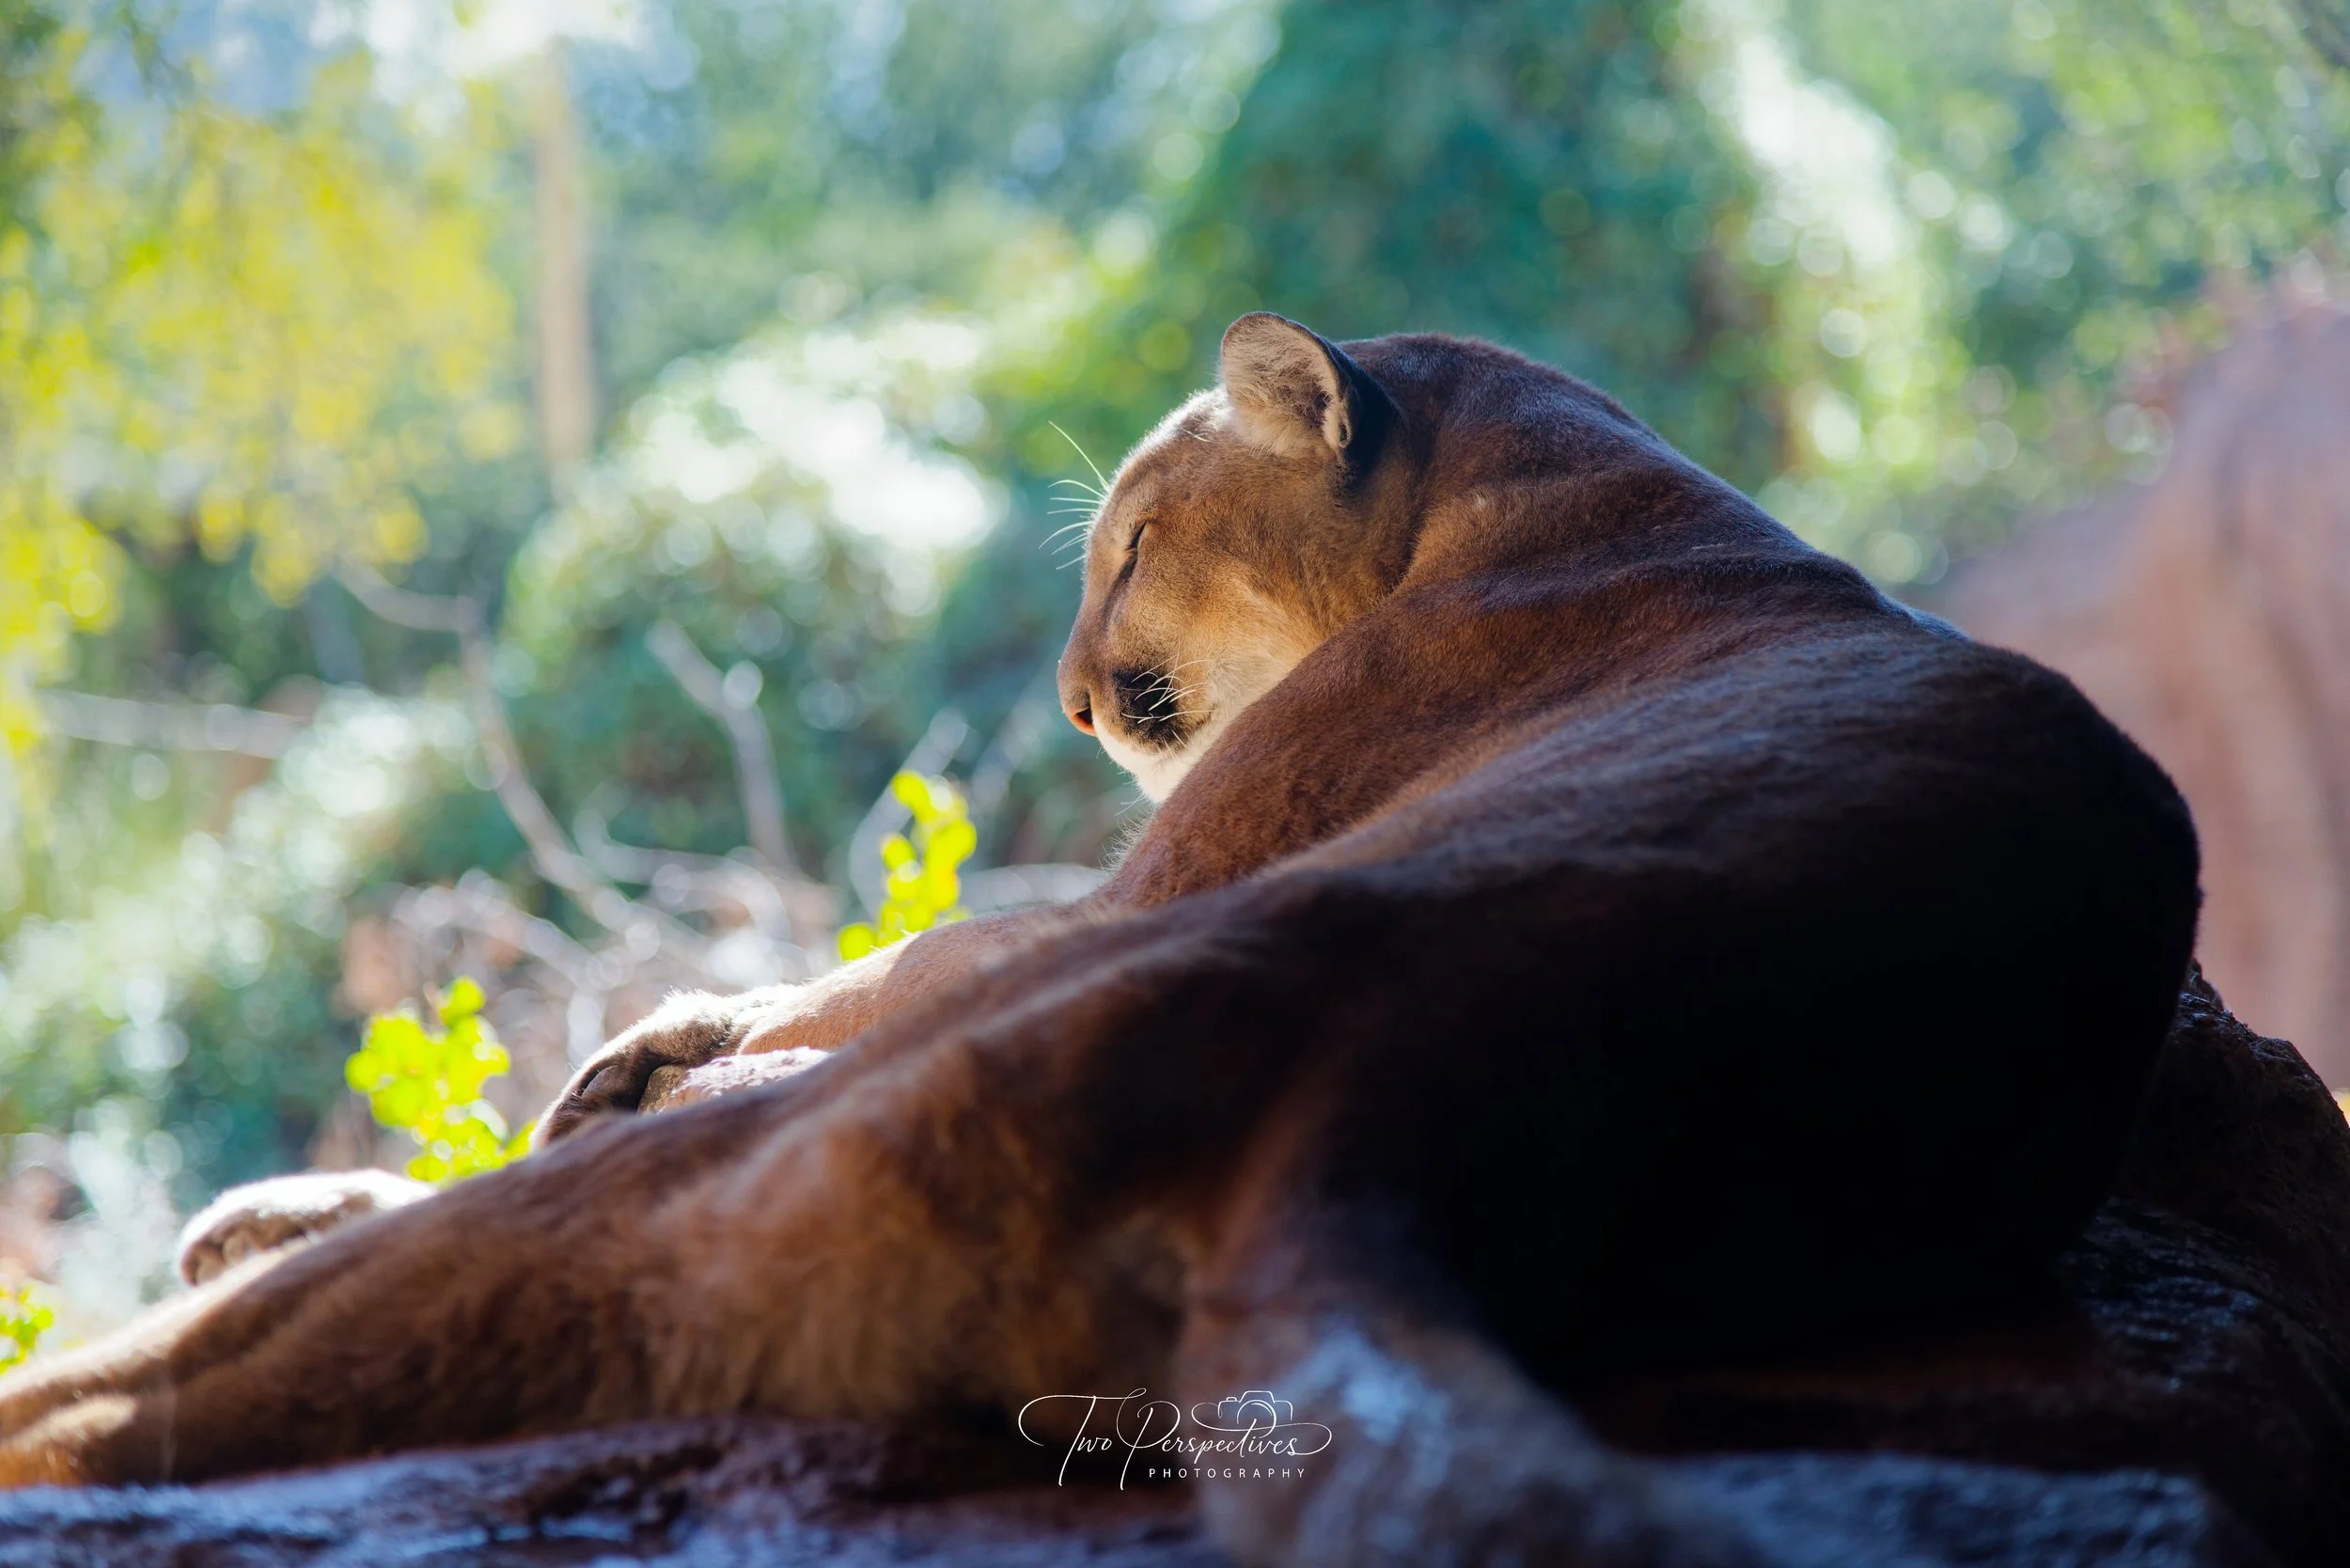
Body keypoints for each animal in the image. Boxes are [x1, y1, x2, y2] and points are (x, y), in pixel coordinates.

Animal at [0, 314, 2198, 1567]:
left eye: (1131, 549)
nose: (1065, 704)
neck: (1571, 475)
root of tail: (1415, 1118)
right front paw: (646, 1035)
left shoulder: (1155, 878)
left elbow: (904, 953)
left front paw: (668, 1036)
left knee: (143, 1398)